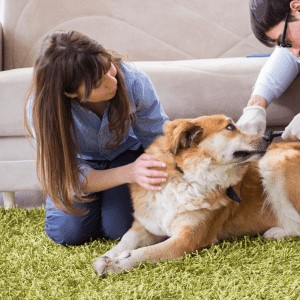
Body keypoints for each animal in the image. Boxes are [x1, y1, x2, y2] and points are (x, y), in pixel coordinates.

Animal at [94, 115, 300, 276]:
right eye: (230, 127)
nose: (268, 137)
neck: (186, 177)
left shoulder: (187, 239)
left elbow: (146, 252)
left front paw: (118, 264)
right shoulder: (147, 224)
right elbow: (125, 241)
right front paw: (107, 256)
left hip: (274, 164)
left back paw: (275, 232)